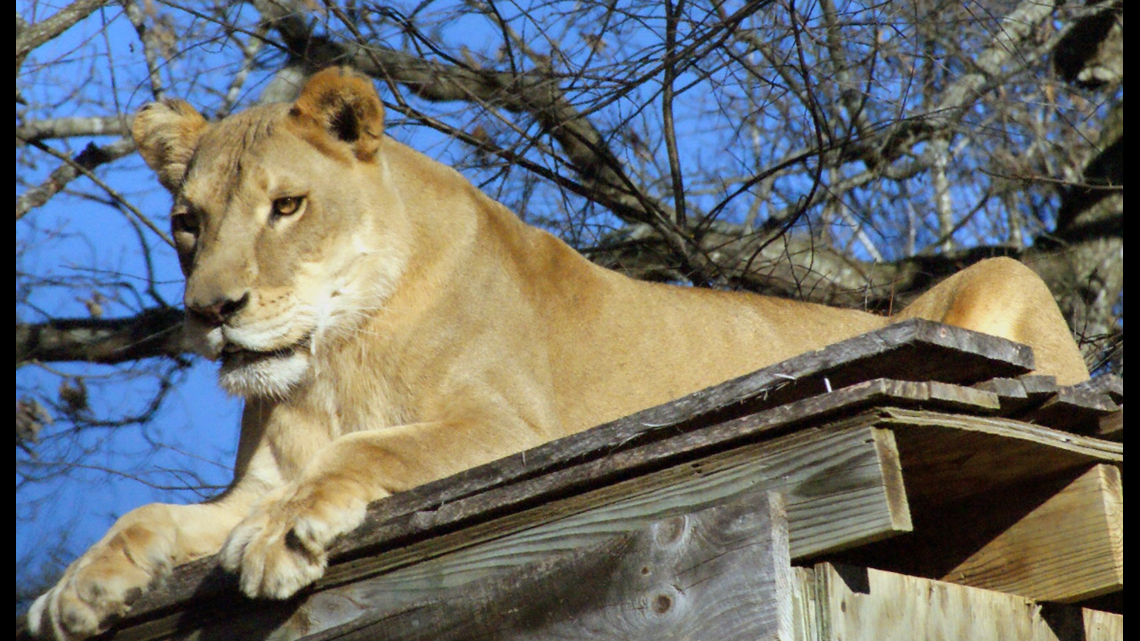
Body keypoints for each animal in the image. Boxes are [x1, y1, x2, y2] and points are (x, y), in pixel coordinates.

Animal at [27, 67, 1089, 640]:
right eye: (186, 222)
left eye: (287, 205)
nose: (211, 311)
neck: (327, 362)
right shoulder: (246, 482)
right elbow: (148, 516)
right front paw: (73, 591)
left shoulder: (507, 426)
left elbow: (369, 448)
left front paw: (281, 537)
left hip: (1003, 277)